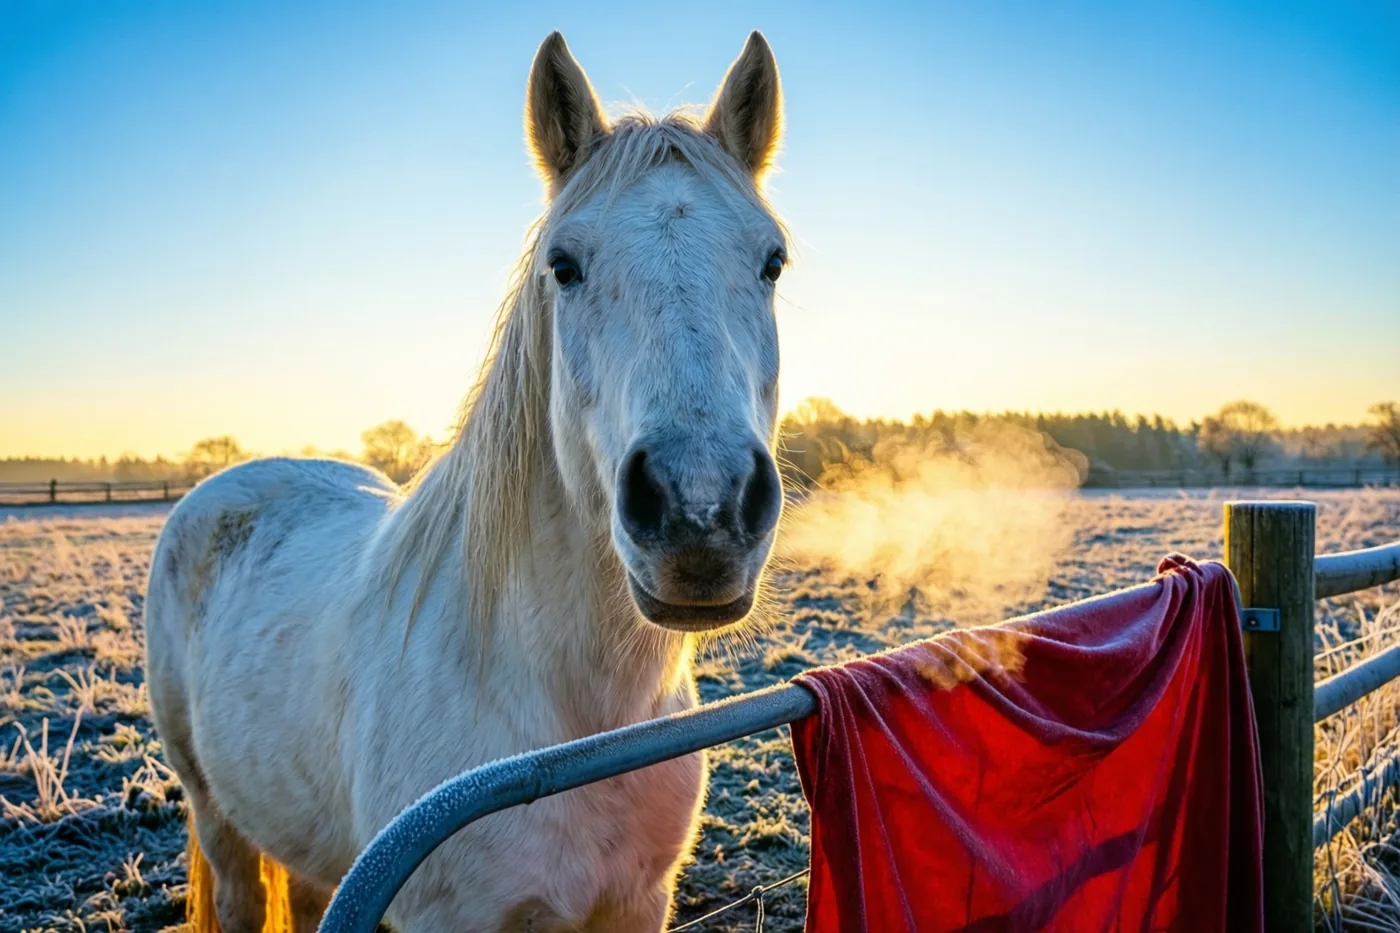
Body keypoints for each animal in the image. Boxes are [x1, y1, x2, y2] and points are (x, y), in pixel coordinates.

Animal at [144, 30, 789, 933]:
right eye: (564, 264)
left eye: (772, 262)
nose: (701, 508)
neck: (577, 726)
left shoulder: (638, 901)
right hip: (214, 812)